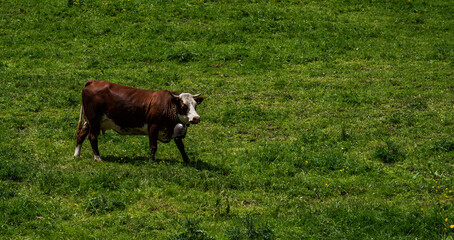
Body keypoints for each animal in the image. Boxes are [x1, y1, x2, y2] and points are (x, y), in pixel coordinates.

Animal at [73, 79, 204, 162]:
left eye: (195, 105)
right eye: (184, 106)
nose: (196, 118)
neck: (167, 105)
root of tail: (93, 81)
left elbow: (181, 146)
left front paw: (187, 160)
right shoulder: (153, 126)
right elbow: (153, 146)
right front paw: (151, 161)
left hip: (89, 121)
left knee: (81, 134)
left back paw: (76, 155)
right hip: (94, 120)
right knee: (92, 137)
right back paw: (98, 158)